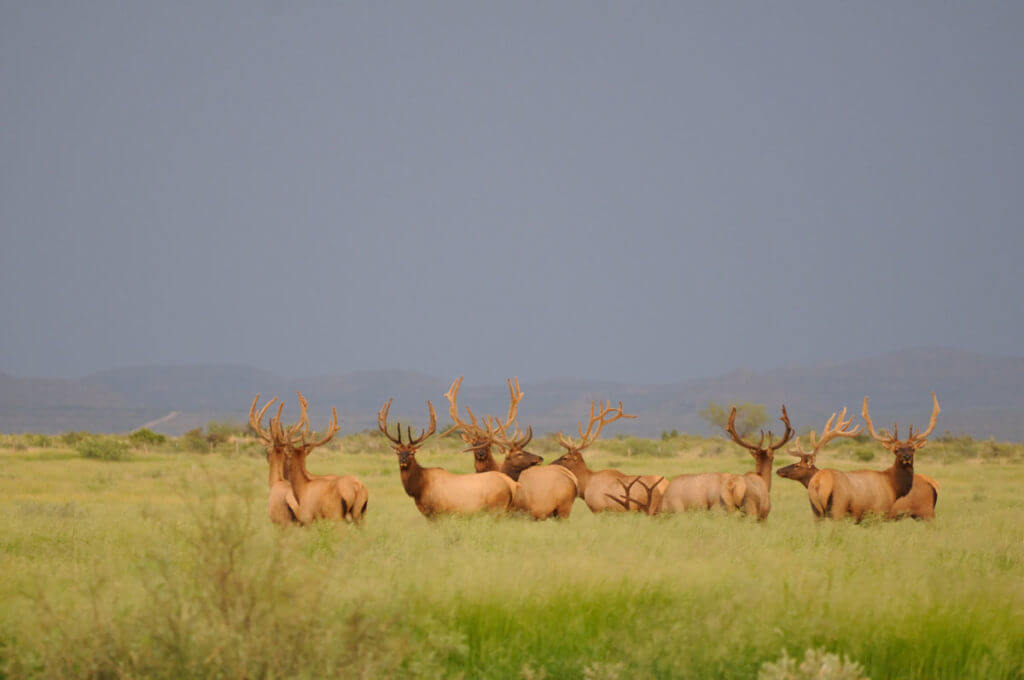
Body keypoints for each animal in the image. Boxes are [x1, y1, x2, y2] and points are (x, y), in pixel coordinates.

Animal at [282, 391, 370, 522]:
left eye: (285, 458)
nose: (283, 474)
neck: (302, 490)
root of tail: (357, 488)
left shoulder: (307, 518)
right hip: (360, 514)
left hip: (336, 515)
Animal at [376, 399, 520, 516]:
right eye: (398, 452)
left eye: (412, 452)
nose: (403, 460)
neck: (418, 489)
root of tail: (512, 485)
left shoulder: (438, 512)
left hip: (497, 509)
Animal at [802, 393, 937, 520]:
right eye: (896, 450)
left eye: (913, 449)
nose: (906, 457)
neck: (893, 486)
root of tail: (817, 482)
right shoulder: (879, 512)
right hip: (838, 508)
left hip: (816, 512)